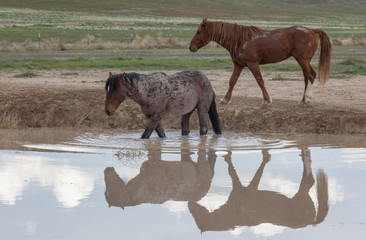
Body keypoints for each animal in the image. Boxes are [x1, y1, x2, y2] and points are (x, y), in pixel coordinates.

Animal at [189, 18, 332, 108]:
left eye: (198, 31)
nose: (191, 47)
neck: (239, 40)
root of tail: (312, 30)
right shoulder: (238, 64)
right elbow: (232, 81)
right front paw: (225, 99)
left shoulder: (253, 64)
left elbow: (260, 81)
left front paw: (266, 101)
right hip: (304, 61)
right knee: (307, 78)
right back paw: (302, 101)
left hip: (302, 60)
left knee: (311, 75)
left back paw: (307, 99)